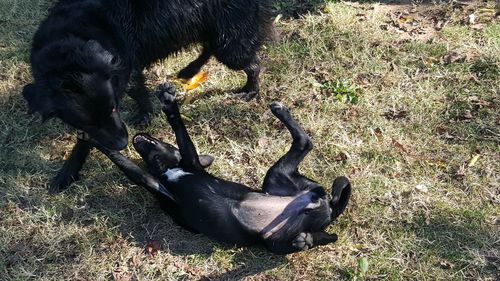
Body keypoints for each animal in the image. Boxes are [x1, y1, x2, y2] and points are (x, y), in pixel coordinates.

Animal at [22, 0, 274, 192]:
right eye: (86, 122)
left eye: (114, 108)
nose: (123, 144)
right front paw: (68, 170)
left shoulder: (126, 69)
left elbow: (137, 93)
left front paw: (144, 114)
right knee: (210, 48)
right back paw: (189, 70)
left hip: (230, 43)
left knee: (253, 64)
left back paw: (249, 91)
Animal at [94, 83, 352, 254]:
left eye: (162, 144)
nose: (138, 135)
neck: (169, 170)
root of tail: (329, 206)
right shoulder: (155, 184)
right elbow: (129, 167)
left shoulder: (188, 163)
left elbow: (179, 133)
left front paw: (169, 104)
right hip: (275, 231)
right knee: (329, 234)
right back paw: (306, 240)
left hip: (277, 193)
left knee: (305, 143)